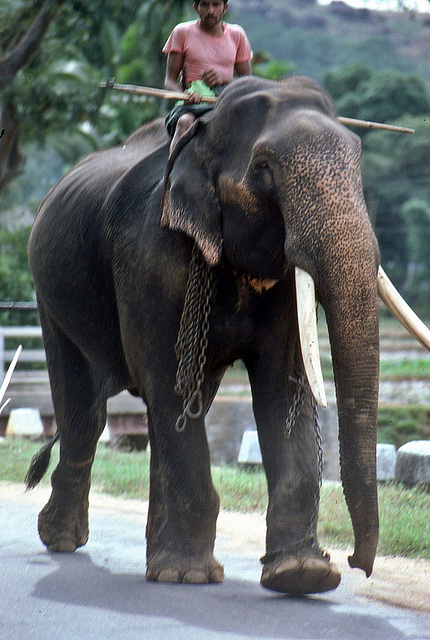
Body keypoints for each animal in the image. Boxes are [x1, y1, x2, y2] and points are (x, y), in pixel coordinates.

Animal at [26, 75, 430, 596]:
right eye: (264, 168)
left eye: (358, 162)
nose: (357, 563)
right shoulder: (149, 258)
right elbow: (168, 380)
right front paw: (191, 577)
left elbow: (282, 388)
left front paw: (304, 575)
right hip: (49, 295)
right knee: (85, 414)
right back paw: (66, 541)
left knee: (160, 418)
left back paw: (154, 557)